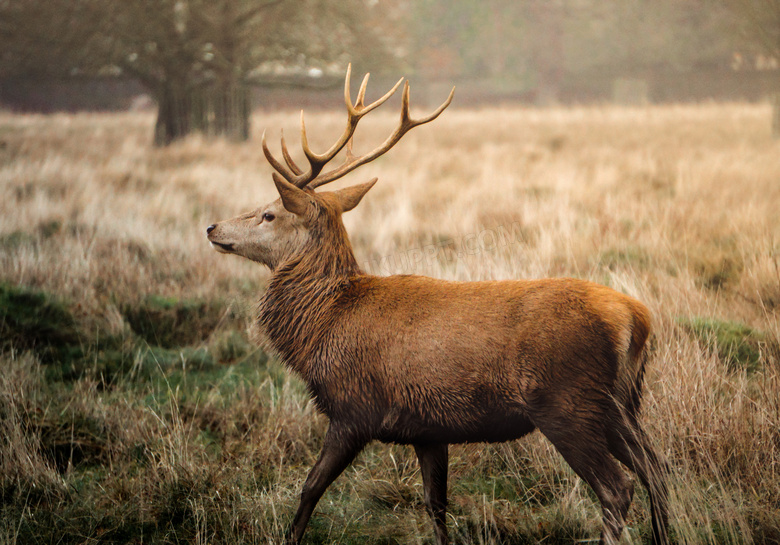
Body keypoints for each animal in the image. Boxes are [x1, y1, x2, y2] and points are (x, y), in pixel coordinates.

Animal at [207, 66, 672, 540]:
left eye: (269, 213)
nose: (212, 228)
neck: (324, 324)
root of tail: (635, 319)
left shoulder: (354, 408)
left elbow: (308, 492)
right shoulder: (427, 429)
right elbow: (436, 506)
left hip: (567, 402)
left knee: (618, 487)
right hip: (622, 403)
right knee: (658, 469)